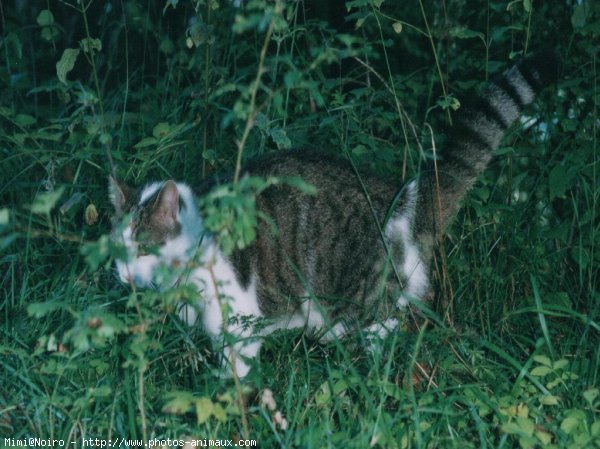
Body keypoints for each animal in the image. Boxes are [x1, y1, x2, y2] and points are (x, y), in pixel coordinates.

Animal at [110, 50, 560, 376]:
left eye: (145, 248)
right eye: (117, 251)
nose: (126, 277)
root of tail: (407, 196)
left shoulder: (238, 319)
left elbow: (236, 373)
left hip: (369, 309)